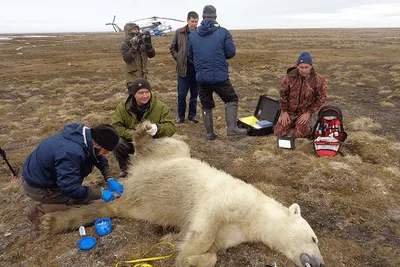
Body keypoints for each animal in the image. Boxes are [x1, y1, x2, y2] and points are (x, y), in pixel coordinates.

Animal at [40, 122, 326, 267]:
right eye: (313, 238)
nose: (321, 263)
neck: (254, 215)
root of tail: (132, 178)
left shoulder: (236, 233)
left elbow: (212, 248)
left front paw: (188, 255)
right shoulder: (231, 198)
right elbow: (206, 224)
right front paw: (184, 256)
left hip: (137, 205)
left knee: (111, 207)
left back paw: (51, 222)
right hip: (170, 154)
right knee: (165, 144)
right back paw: (144, 131)